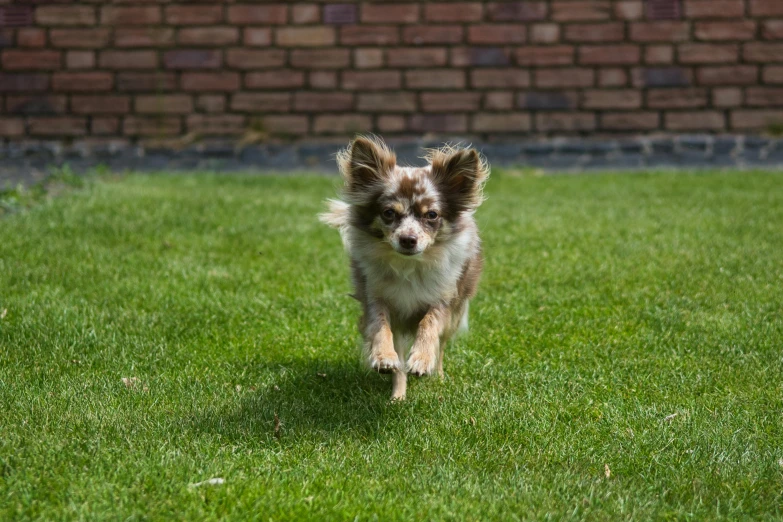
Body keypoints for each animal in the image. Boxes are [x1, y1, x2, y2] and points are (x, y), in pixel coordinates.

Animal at [320, 134, 490, 398]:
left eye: (432, 215)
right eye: (389, 213)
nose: (408, 239)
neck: (409, 265)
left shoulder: (443, 300)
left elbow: (429, 324)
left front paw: (422, 359)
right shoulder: (377, 299)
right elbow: (381, 327)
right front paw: (383, 357)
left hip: (456, 312)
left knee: (442, 345)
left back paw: (438, 375)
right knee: (399, 358)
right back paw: (397, 396)